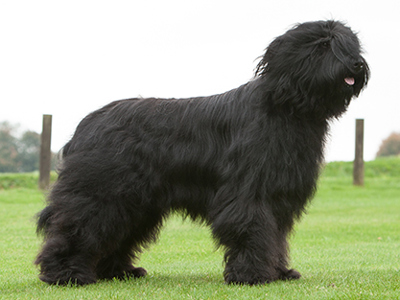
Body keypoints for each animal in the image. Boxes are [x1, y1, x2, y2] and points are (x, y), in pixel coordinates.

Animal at [35, 19, 368, 284]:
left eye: (351, 44)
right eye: (324, 45)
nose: (357, 64)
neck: (286, 107)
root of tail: (89, 121)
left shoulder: (279, 197)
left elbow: (276, 235)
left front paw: (279, 272)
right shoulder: (248, 192)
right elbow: (252, 228)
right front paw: (251, 275)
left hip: (136, 201)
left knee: (118, 230)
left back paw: (118, 271)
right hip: (102, 192)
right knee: (78, 226)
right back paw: (66, 274)